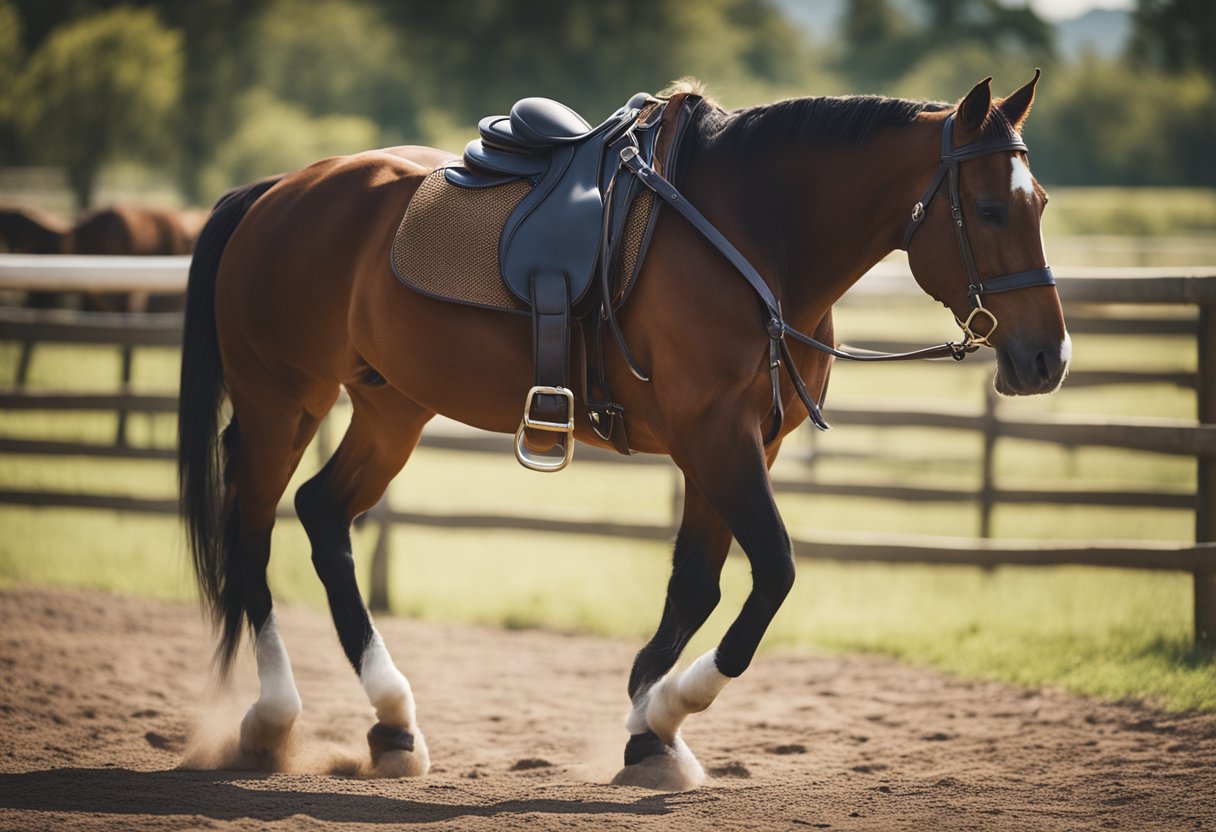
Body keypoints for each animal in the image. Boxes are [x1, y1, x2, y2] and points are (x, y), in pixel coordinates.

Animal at [177, 72, 1068, 787]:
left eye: (1043, 204)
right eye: (991, 208)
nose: (1046, 357)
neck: (753, 233)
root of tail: (277, 191)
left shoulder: (740, 445)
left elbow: (696, 586)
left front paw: (650, 729)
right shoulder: (715, 438)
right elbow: (773, 574)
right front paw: (665, 713)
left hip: (391, 407)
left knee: (323, 515)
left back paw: (393, 722)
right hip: (280, 403)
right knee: (254, 535)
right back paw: (273, 718)